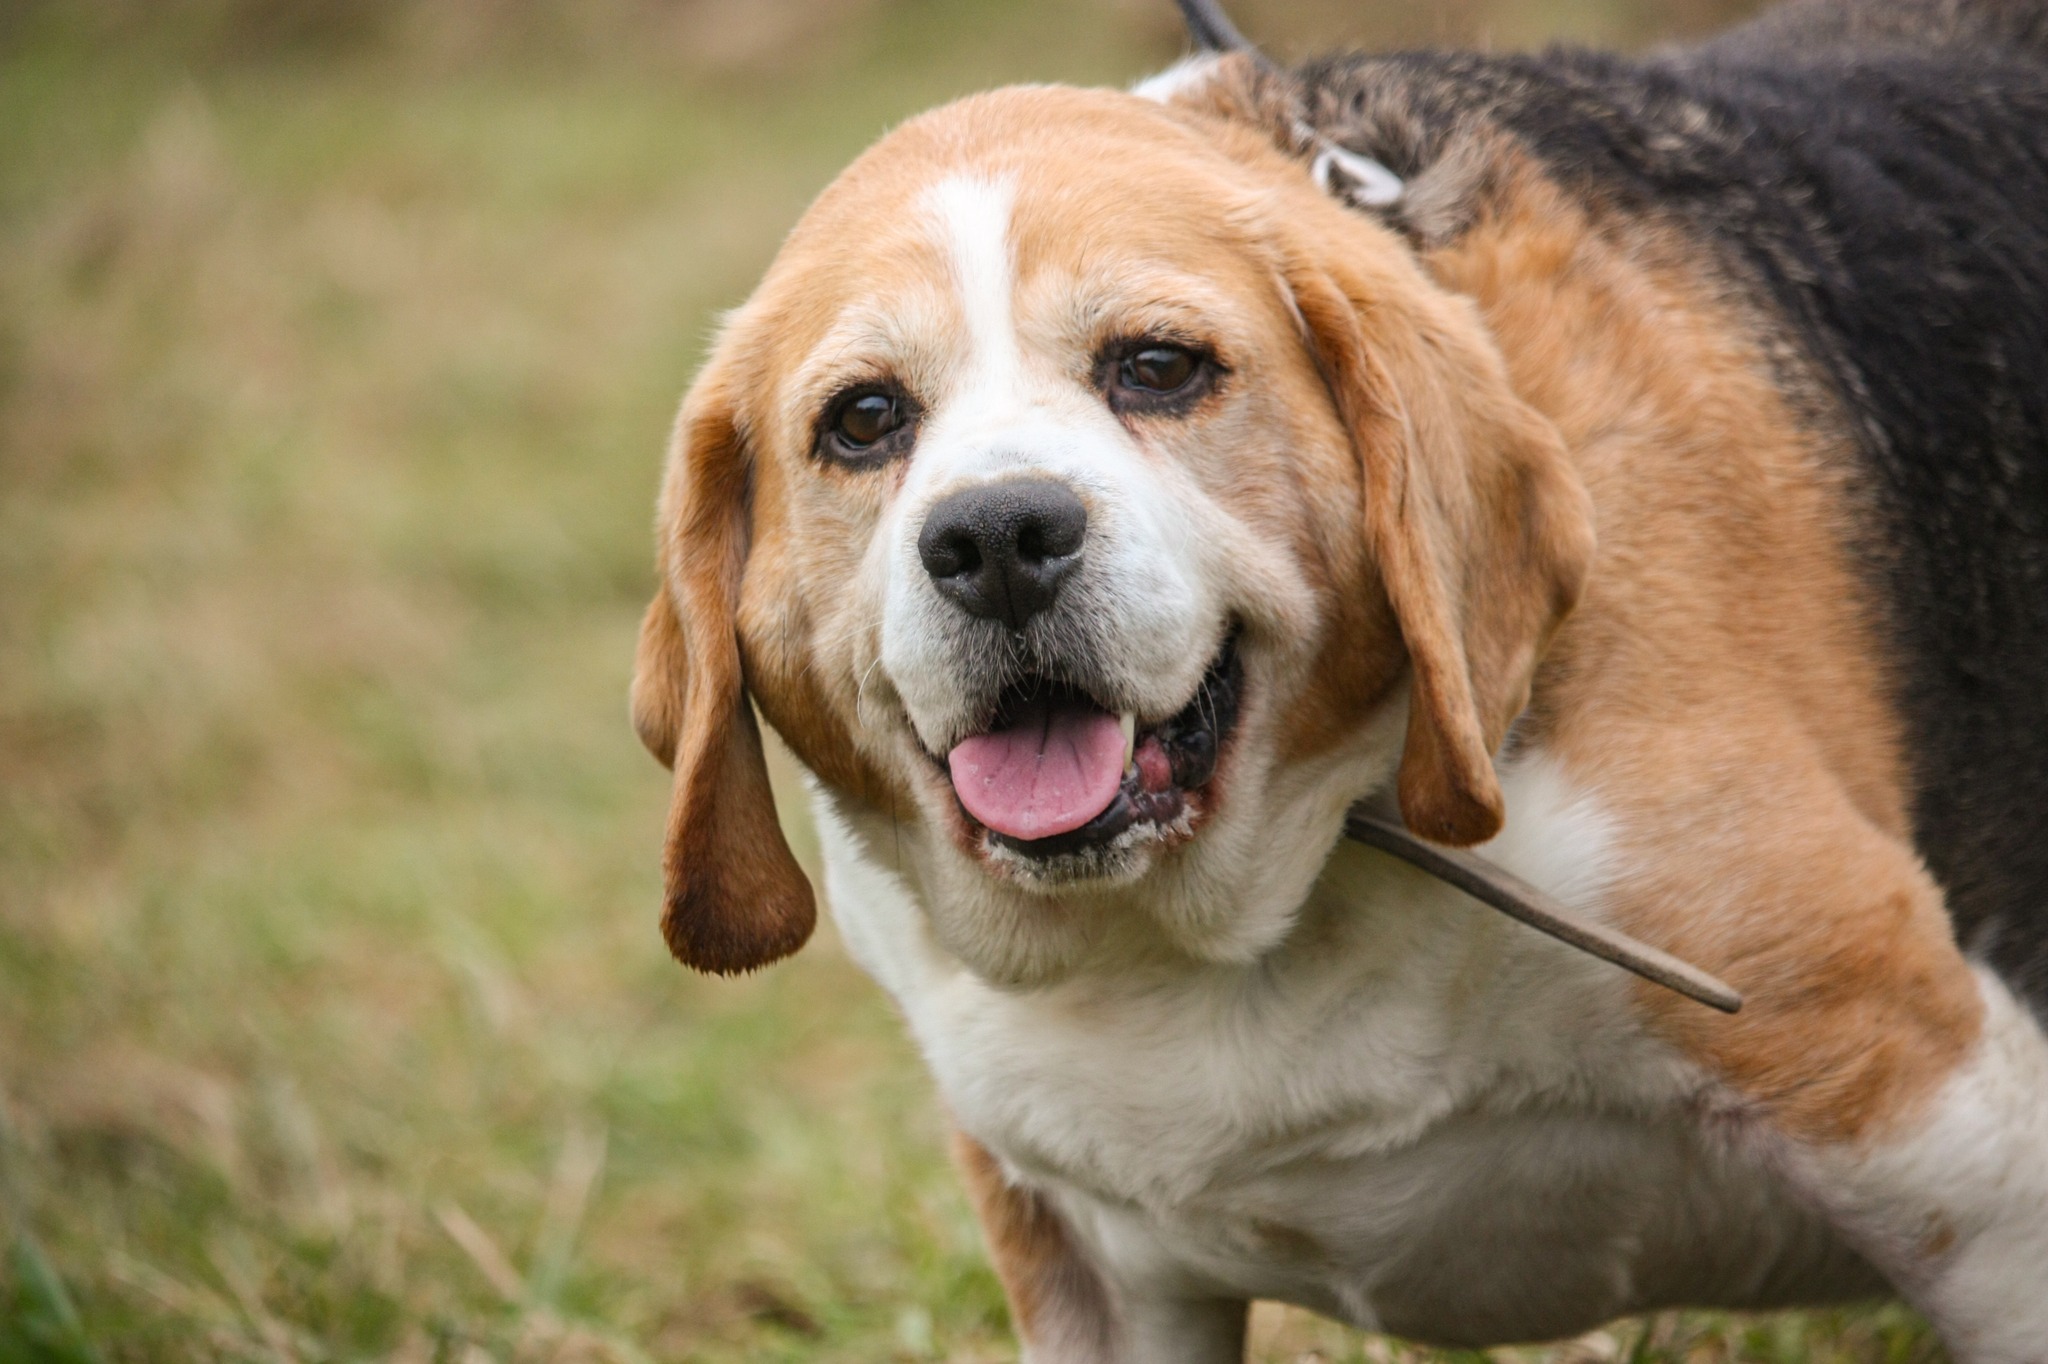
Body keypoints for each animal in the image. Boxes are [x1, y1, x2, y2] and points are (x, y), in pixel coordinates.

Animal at [630, 0, 2048, 1357]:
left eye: (1157, 366)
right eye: (864, 419)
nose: (993, 538)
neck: (1208, 935)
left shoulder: (1937, 1127)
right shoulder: (1085, 1270)